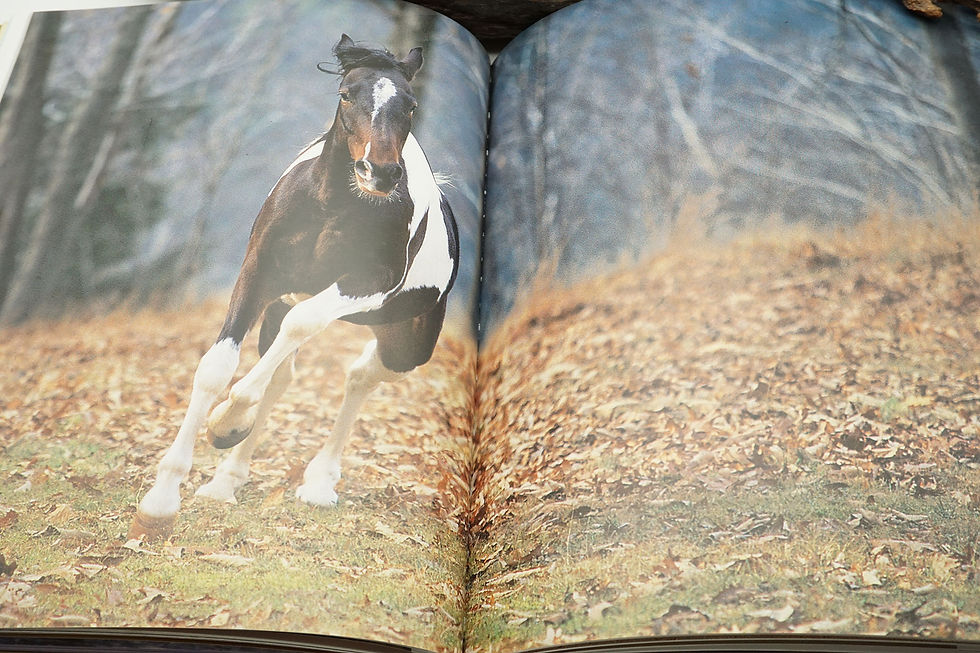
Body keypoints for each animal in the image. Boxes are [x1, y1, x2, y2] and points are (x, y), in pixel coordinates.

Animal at [132, 34, 459, 536]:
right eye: (346, 95)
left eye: (411, 104)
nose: (379, 173)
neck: (332, 205)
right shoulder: (259, 274)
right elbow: (217, 369)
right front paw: (162, 499)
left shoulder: (368, 285)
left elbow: (296, 334)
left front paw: (225, 423)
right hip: (279, 306)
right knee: (285, 375)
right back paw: (227, 481)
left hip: (406, 344)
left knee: (360, 374)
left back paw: (319, 483)